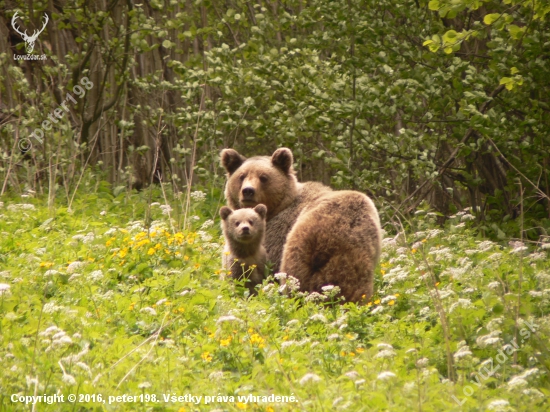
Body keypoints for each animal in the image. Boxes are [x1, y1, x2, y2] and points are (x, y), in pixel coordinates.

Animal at [221, 148, 384, 302]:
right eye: (242, 176)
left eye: (263, 177)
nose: (248, 191)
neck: (277, 208)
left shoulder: (277, 232)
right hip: (359, 253)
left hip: (301, 243)